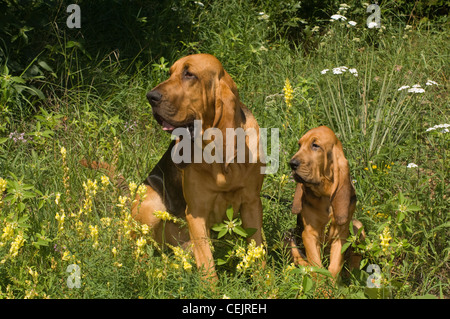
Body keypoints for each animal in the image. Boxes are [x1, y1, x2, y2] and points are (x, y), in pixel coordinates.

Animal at [141, 53, 266, 282]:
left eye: (189, 74)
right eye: (170, 72)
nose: (150, 96)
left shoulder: (252, 204)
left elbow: (257, 251)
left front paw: (266, 285)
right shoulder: (196, 213)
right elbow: (208, 266)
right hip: (150, 200)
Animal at [286, 126, 364, 278]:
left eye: (315, 145)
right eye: (299, 145)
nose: (292, 164)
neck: (325, 195)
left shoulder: (341, 236)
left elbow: (334, 267)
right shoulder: (309, 234)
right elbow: (317, 267)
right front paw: (322, 283)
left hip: (358, 226)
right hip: (290, 236)